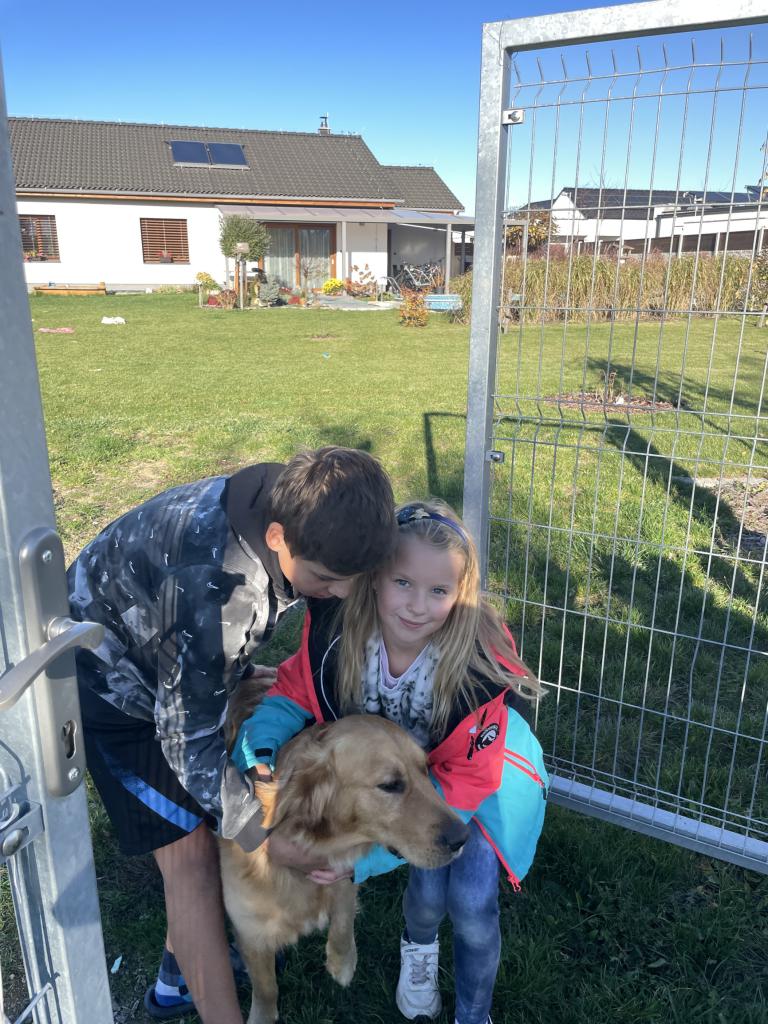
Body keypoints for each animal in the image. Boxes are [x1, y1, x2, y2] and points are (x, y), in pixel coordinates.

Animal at [220, 693, 469, 1024]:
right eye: (390, 785)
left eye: (425, 769)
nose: (463, 837)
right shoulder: (251, 932)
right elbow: (266, 987)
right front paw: (262, 1015)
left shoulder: (343, 877)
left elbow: (343, 914)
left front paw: (342, 962)